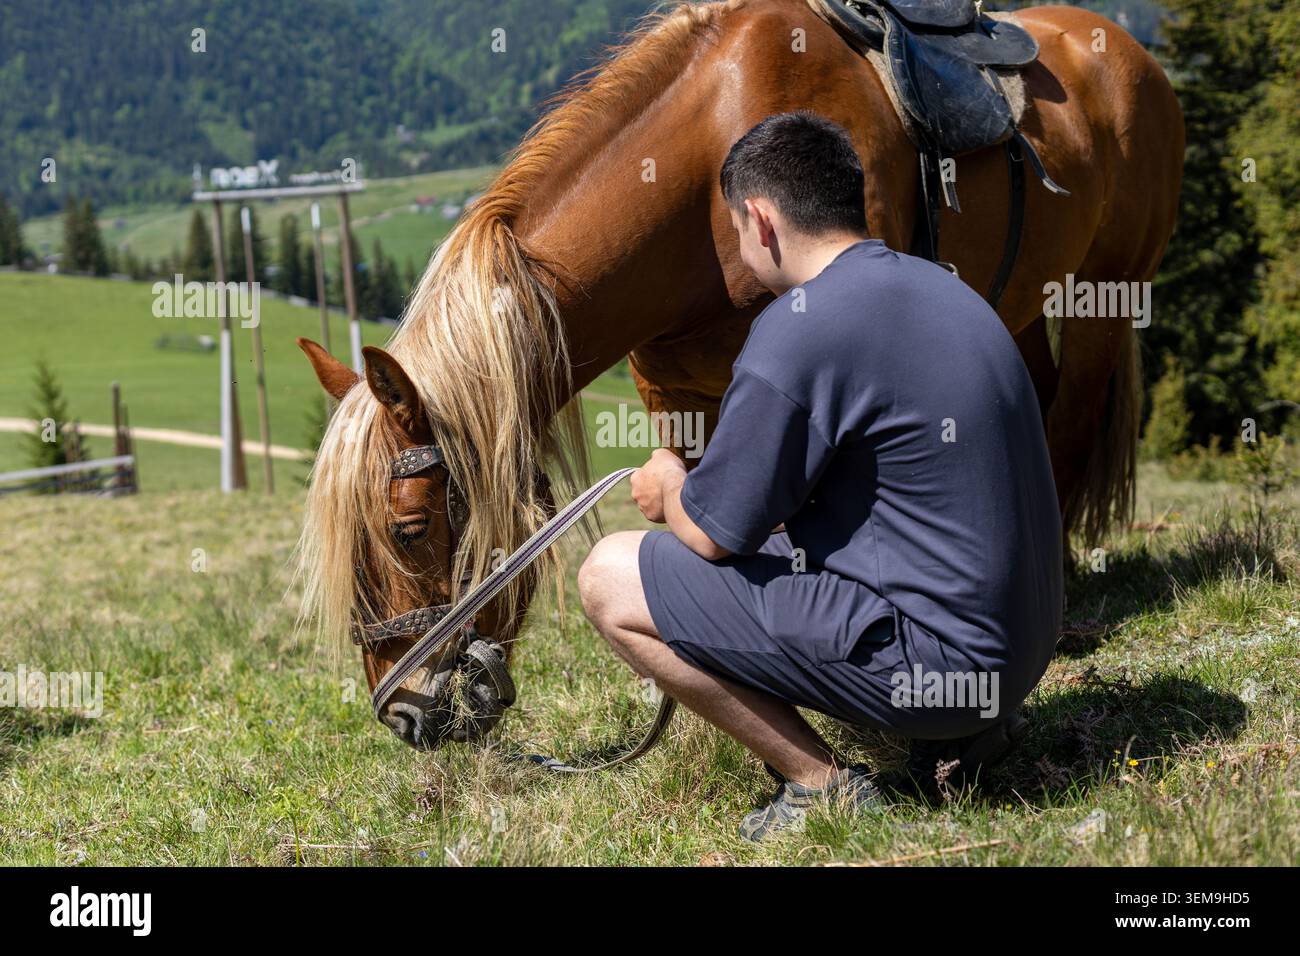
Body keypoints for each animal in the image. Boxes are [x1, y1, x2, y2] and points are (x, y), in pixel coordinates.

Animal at [295, 0, 1184, 749]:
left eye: (410, 529)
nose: (405, 715)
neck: (701, 191)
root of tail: (1124, 48)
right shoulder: (680, 405)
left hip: (1105, 297)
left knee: (1069, 428)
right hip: (1021, 307)